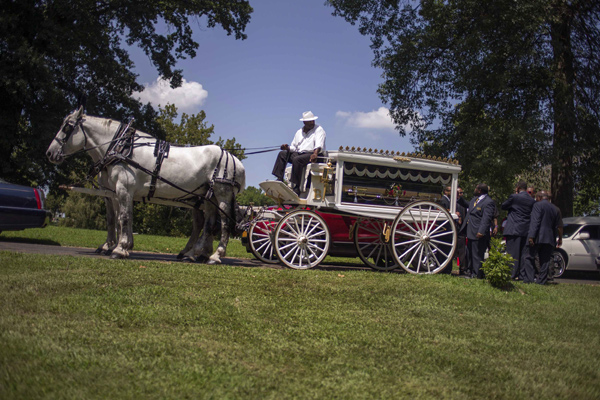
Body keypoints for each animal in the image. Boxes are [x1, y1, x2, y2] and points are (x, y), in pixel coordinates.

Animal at [45, 106, 245, 262]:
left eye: (67, 127)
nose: (49, 153)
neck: (122, 148)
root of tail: (234, 159)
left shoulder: (123, 189)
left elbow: (124, 217)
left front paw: (119, 248)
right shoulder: (113, 192)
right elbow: (114, 219)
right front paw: (114, 246)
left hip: (222, 193)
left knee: (224, 223)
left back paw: (215, 256)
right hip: (207, 197)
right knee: (207, 223)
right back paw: (198, 254)